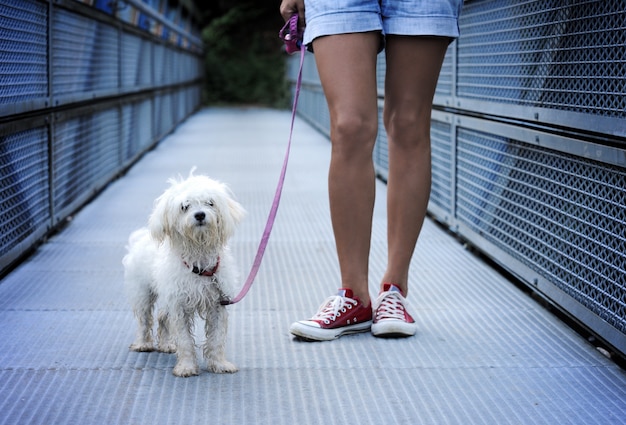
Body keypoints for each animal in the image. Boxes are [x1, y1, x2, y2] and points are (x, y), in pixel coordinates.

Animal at [121, 171, 244, 376]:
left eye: (210, 203)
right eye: (184, 206)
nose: (200, 214)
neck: (199, 261)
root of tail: (140, 239)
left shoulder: (216, 305)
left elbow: (216, 339)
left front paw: (219, 364)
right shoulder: (179, 307)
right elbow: (185, 340)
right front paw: (186, 367)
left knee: (162, 317)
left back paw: (167, 344)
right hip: (143, 293)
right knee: (145, 320)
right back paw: (143, 344)